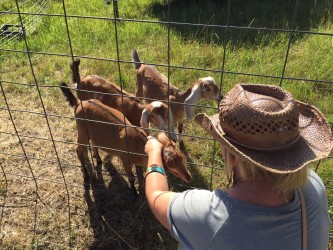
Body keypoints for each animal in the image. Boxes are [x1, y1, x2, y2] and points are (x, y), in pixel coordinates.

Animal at [58, 83, 191, 196]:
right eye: (170, 163)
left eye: (182, 158)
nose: (189, 177)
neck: (138, 145)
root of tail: (79, 103)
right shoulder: (125, 160)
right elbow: (131, 176)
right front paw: (134, 193)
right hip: (82, 131)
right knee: (79, 150)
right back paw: (86, 175)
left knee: (94, 144)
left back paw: (98, 160)